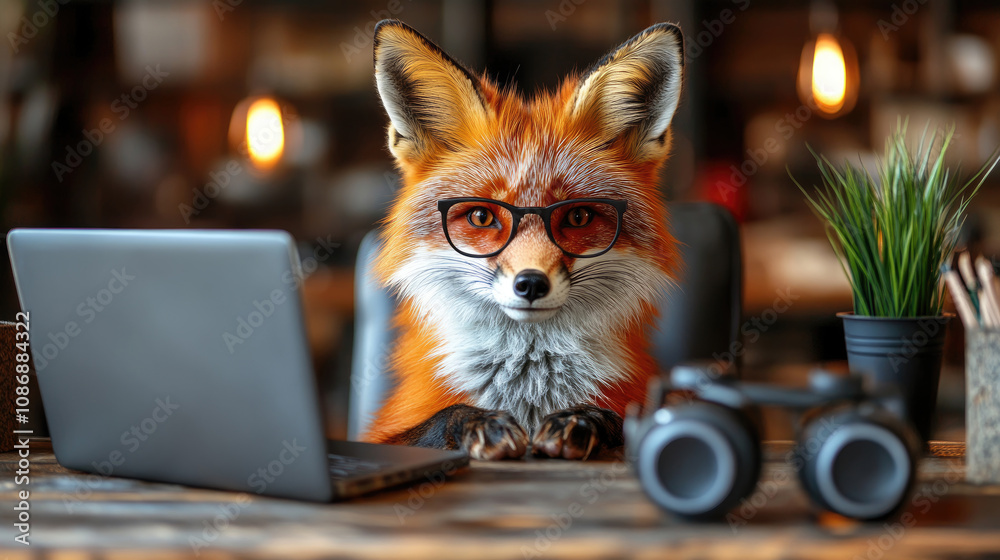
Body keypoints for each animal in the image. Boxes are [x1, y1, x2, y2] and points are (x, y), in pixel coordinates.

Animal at [364, 19, 684, 462]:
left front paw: (583, 419)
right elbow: (440, 419)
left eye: (578, 217)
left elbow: (628, 424)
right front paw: (479, 422)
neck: (527, 394)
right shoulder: (380, 436)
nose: (531, 284)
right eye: (481, 217)